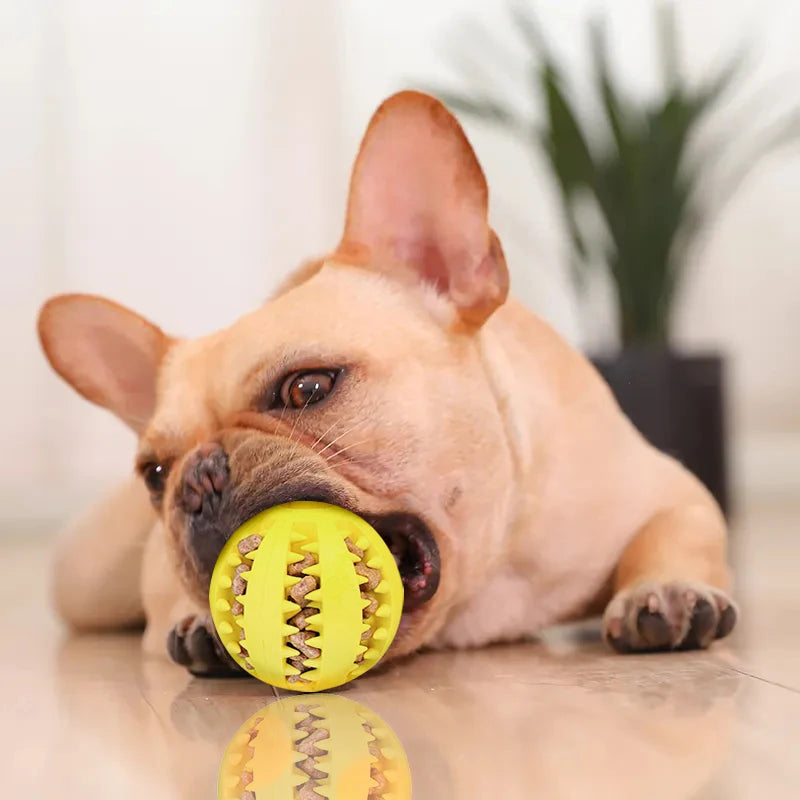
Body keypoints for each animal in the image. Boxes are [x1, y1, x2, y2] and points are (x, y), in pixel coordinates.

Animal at [37, 89, 736, 676]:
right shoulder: (159, 568)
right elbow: (171, 597)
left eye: (307, 389)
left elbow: (675, 531)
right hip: (87, 580)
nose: (198, 477)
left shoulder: (665, 490)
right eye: (155, 475)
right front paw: (203, 624)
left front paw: (665, 588)